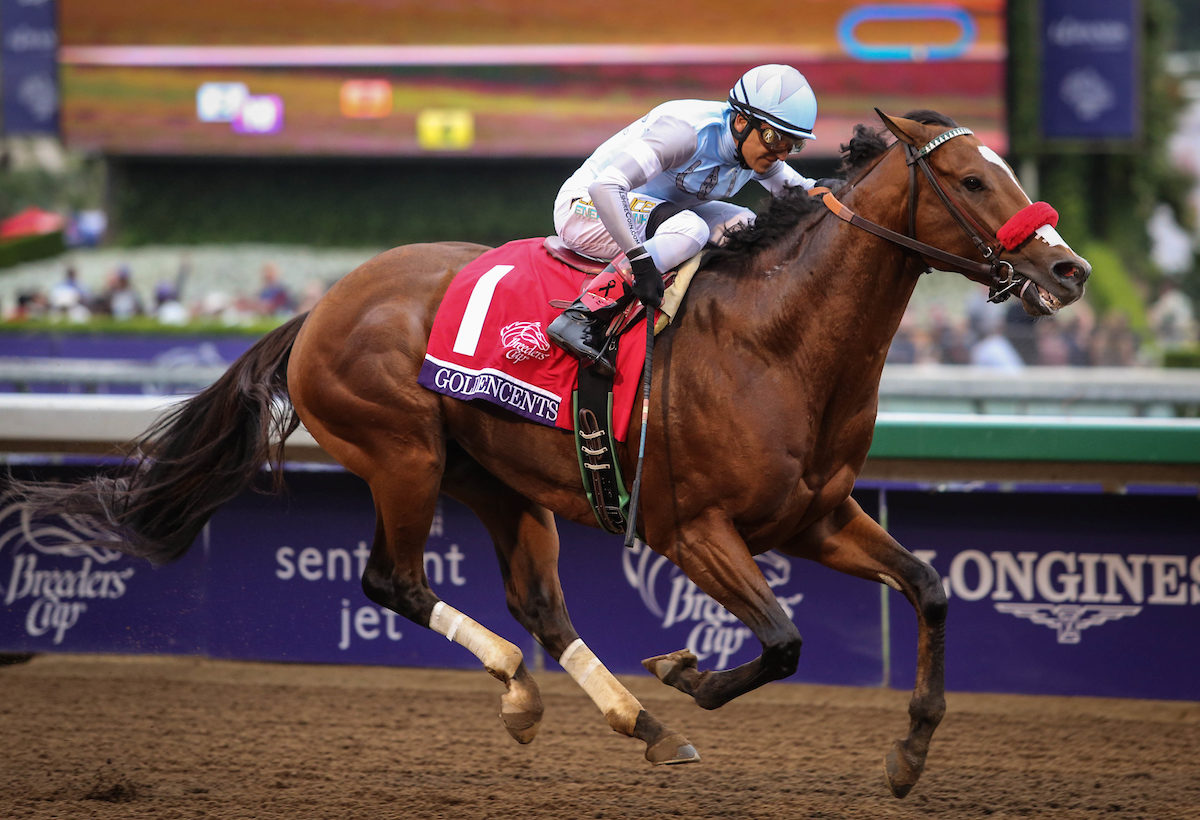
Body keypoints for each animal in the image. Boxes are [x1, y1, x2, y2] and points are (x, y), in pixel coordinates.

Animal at [9, 109, 1094, 797]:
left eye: (1010, 171)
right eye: (971, 179)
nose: (1070, 268)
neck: (775, 341)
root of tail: (321, 305)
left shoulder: (816, 515)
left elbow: (931, 587)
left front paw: (909, 752)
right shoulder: (689, 526)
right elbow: (784, 640)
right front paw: (687, 670)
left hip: (502, 483)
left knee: (538, 603)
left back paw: (635, 724)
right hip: (402, 455)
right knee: (393, 580)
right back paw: (532, 691)